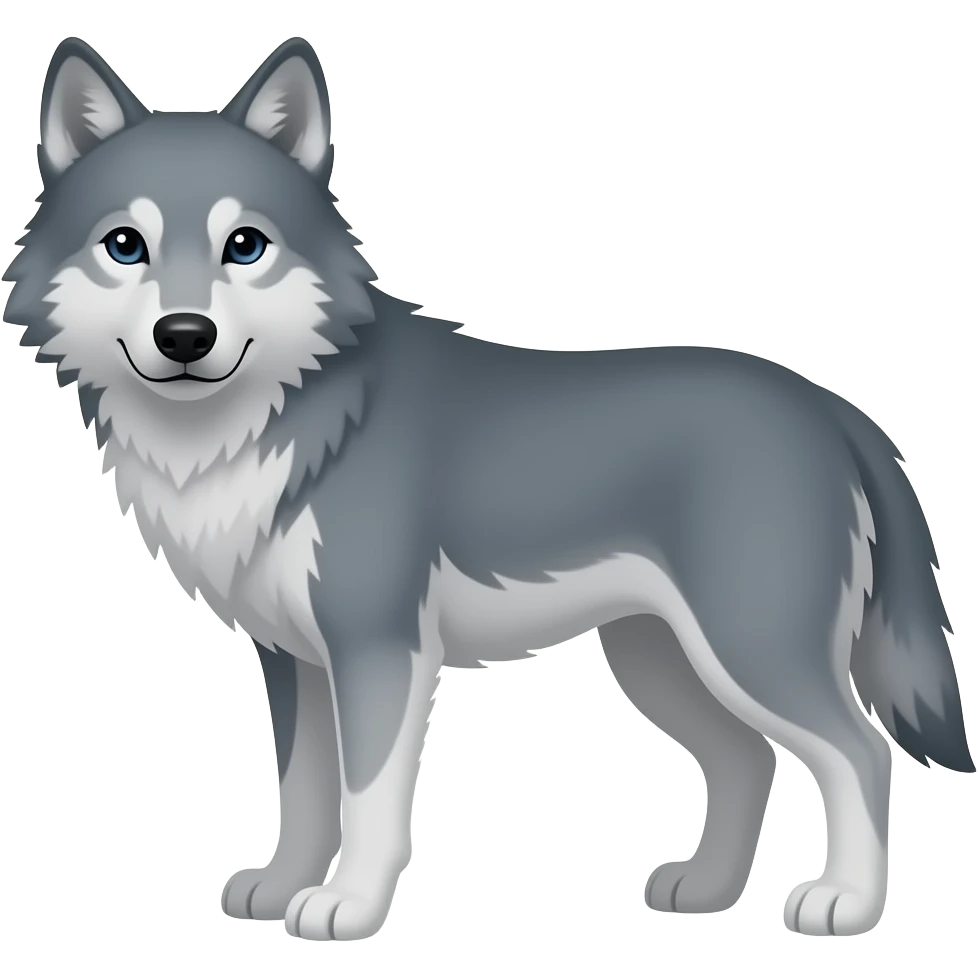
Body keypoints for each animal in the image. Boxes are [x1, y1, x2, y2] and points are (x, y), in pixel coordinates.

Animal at [3, 34, 972, 942]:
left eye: (245, 246)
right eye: (125, 246)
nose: (185, 335)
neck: (272, 421)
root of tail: (833, 407)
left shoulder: (380, 649)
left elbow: (367, 798)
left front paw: (346, 907)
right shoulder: (291, 659)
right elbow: (304, 794)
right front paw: (280, 891)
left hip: (751, 648)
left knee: (860, 753)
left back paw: (845, 903)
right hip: (659, 659)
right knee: (748, 761)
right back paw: (705, 892)